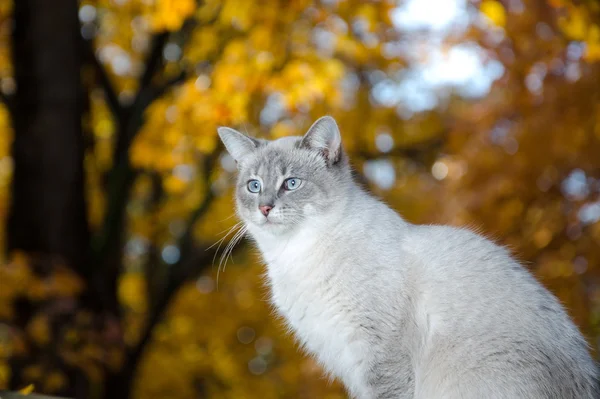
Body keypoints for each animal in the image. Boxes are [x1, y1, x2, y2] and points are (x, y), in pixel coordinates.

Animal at [218, 116, 596, 399]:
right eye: (254, 186)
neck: (295, 254)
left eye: (291, 183)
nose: (265, 208)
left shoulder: (380, 356)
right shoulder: (348, 364)